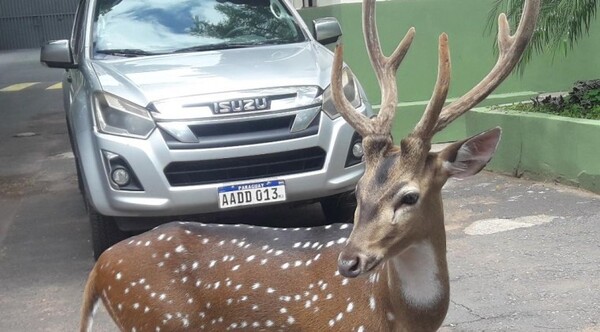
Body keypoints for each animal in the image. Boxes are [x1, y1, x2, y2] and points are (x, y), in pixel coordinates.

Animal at [78, 0, 540, 332]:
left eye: (409, 196)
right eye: (359, 191)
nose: (349, 262)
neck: (400, 318)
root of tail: (99, 269)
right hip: (157, 319)